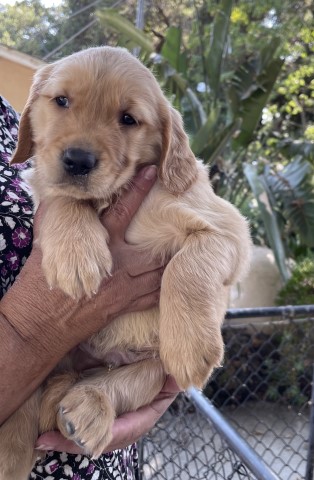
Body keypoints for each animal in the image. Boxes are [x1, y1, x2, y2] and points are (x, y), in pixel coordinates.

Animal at [0, 46, 250, 480]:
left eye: (128, 119)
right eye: (61, 101)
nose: (78, 160)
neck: (113, 196)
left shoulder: (230, 229)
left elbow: (190, 264)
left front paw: (191, 346)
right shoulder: (46, 188)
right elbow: (64, 197)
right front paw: (76, 254)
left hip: (152, 370)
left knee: (120, 383)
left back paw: (87, 407)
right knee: (32, 395)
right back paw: (11, 451)